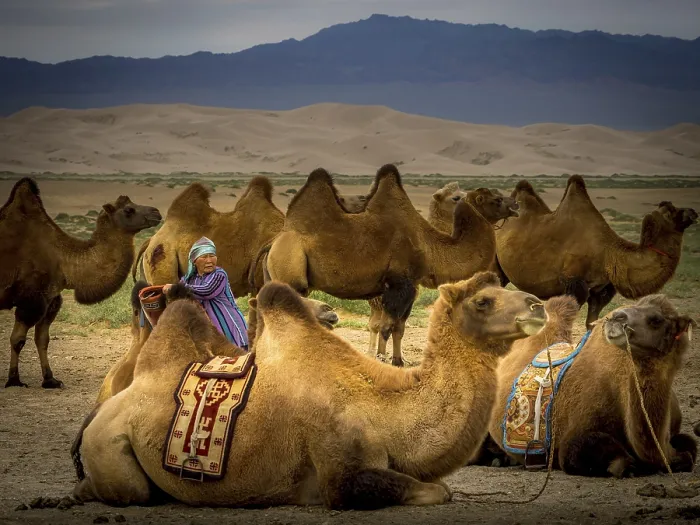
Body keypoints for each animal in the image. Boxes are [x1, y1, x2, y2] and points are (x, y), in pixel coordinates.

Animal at [0, 178, 162, 388]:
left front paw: (50, 379)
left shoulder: (50, 299)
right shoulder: (31, 299)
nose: (157, 212)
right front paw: (14, 379)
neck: (62, 259)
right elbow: (17, 339)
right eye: (128, 209)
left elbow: (42, 339)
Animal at [495, 175, 698, 329]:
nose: (693, 211)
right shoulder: (574, 283)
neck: (608, 252)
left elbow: (591, 323)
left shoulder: (601, 290)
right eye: (672, 211)